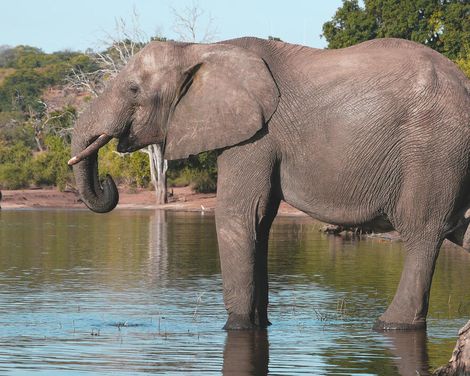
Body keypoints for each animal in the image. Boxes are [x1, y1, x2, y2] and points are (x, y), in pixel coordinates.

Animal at [70, 36, 470, 330]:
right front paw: (260, 326)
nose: (107, 181)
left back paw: (389, 325)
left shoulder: (254, 137)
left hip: (433, 150)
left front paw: (236, 328)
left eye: (133, 90)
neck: (199, 49)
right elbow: (259, 222)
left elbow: (238, 215)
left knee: (421, 231)